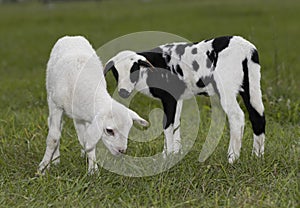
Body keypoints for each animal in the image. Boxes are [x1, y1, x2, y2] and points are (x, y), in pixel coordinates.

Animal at [38, 36, 149, 174]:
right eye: (109, 131)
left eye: (129, 129)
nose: (122, 151)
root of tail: (72, 36)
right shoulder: (56, 105)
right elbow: (53, 137)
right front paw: (43, 168)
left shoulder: (88, 117)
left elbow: (89, 141)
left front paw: (92, 169)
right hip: (51, 95)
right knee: (56, 126)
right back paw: (55, 159)